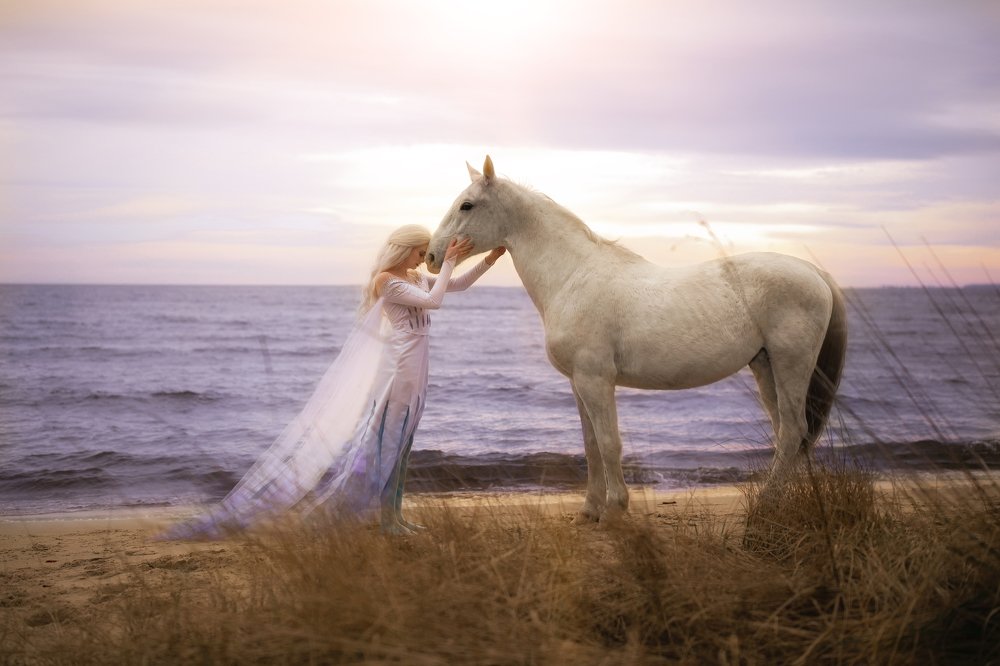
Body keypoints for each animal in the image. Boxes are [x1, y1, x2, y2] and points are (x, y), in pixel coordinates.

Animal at [426, 156, 847, 523]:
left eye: (466, 205)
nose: (431, 257)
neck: (572, 276)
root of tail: (815, 272)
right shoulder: (579, 384)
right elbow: (591, 446)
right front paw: (590, 511)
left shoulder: (596, 381)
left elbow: (610, 443)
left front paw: (615, 509)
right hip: (765, 366)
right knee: (788, 434)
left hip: (791, 365)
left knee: (792, 432)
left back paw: (764, 504)